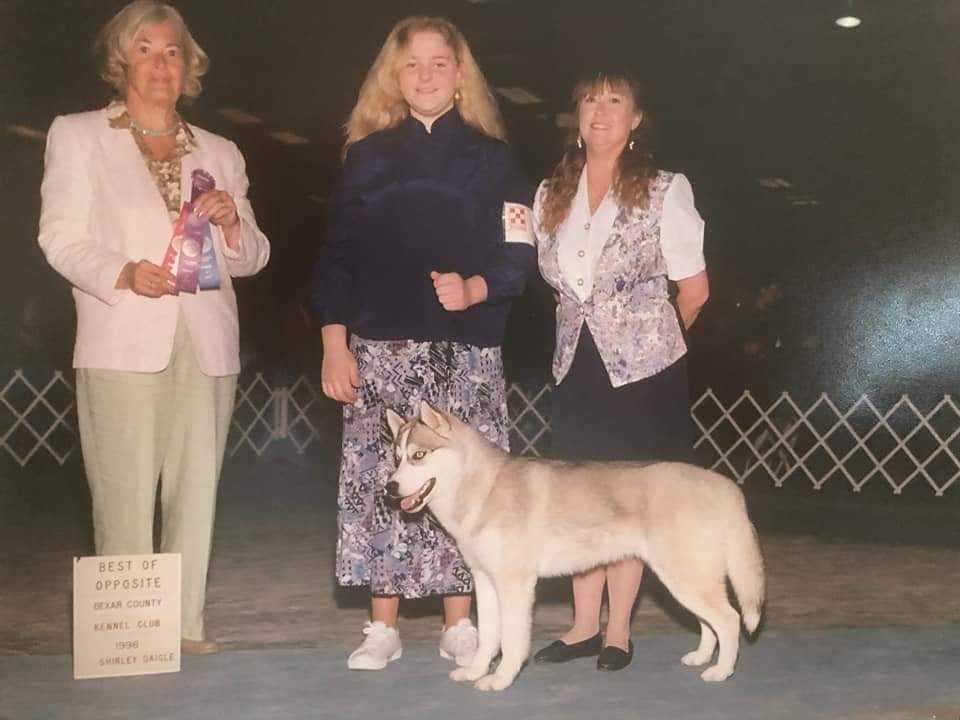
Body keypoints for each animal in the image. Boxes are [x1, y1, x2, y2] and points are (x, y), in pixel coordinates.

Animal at [386, 402, 765, 691]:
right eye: (397, 458)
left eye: (419, 455)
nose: (390, 487)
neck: (483, 489)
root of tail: (726, 485)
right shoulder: (485, 580)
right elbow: (488, 638)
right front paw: (476, 671)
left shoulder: (515, 585)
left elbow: (510, 641)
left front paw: (501, 679)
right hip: (688, 580)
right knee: (709, 623)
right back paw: (702, 657)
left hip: (684, 578)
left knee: (729, 620)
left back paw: (721, 671)